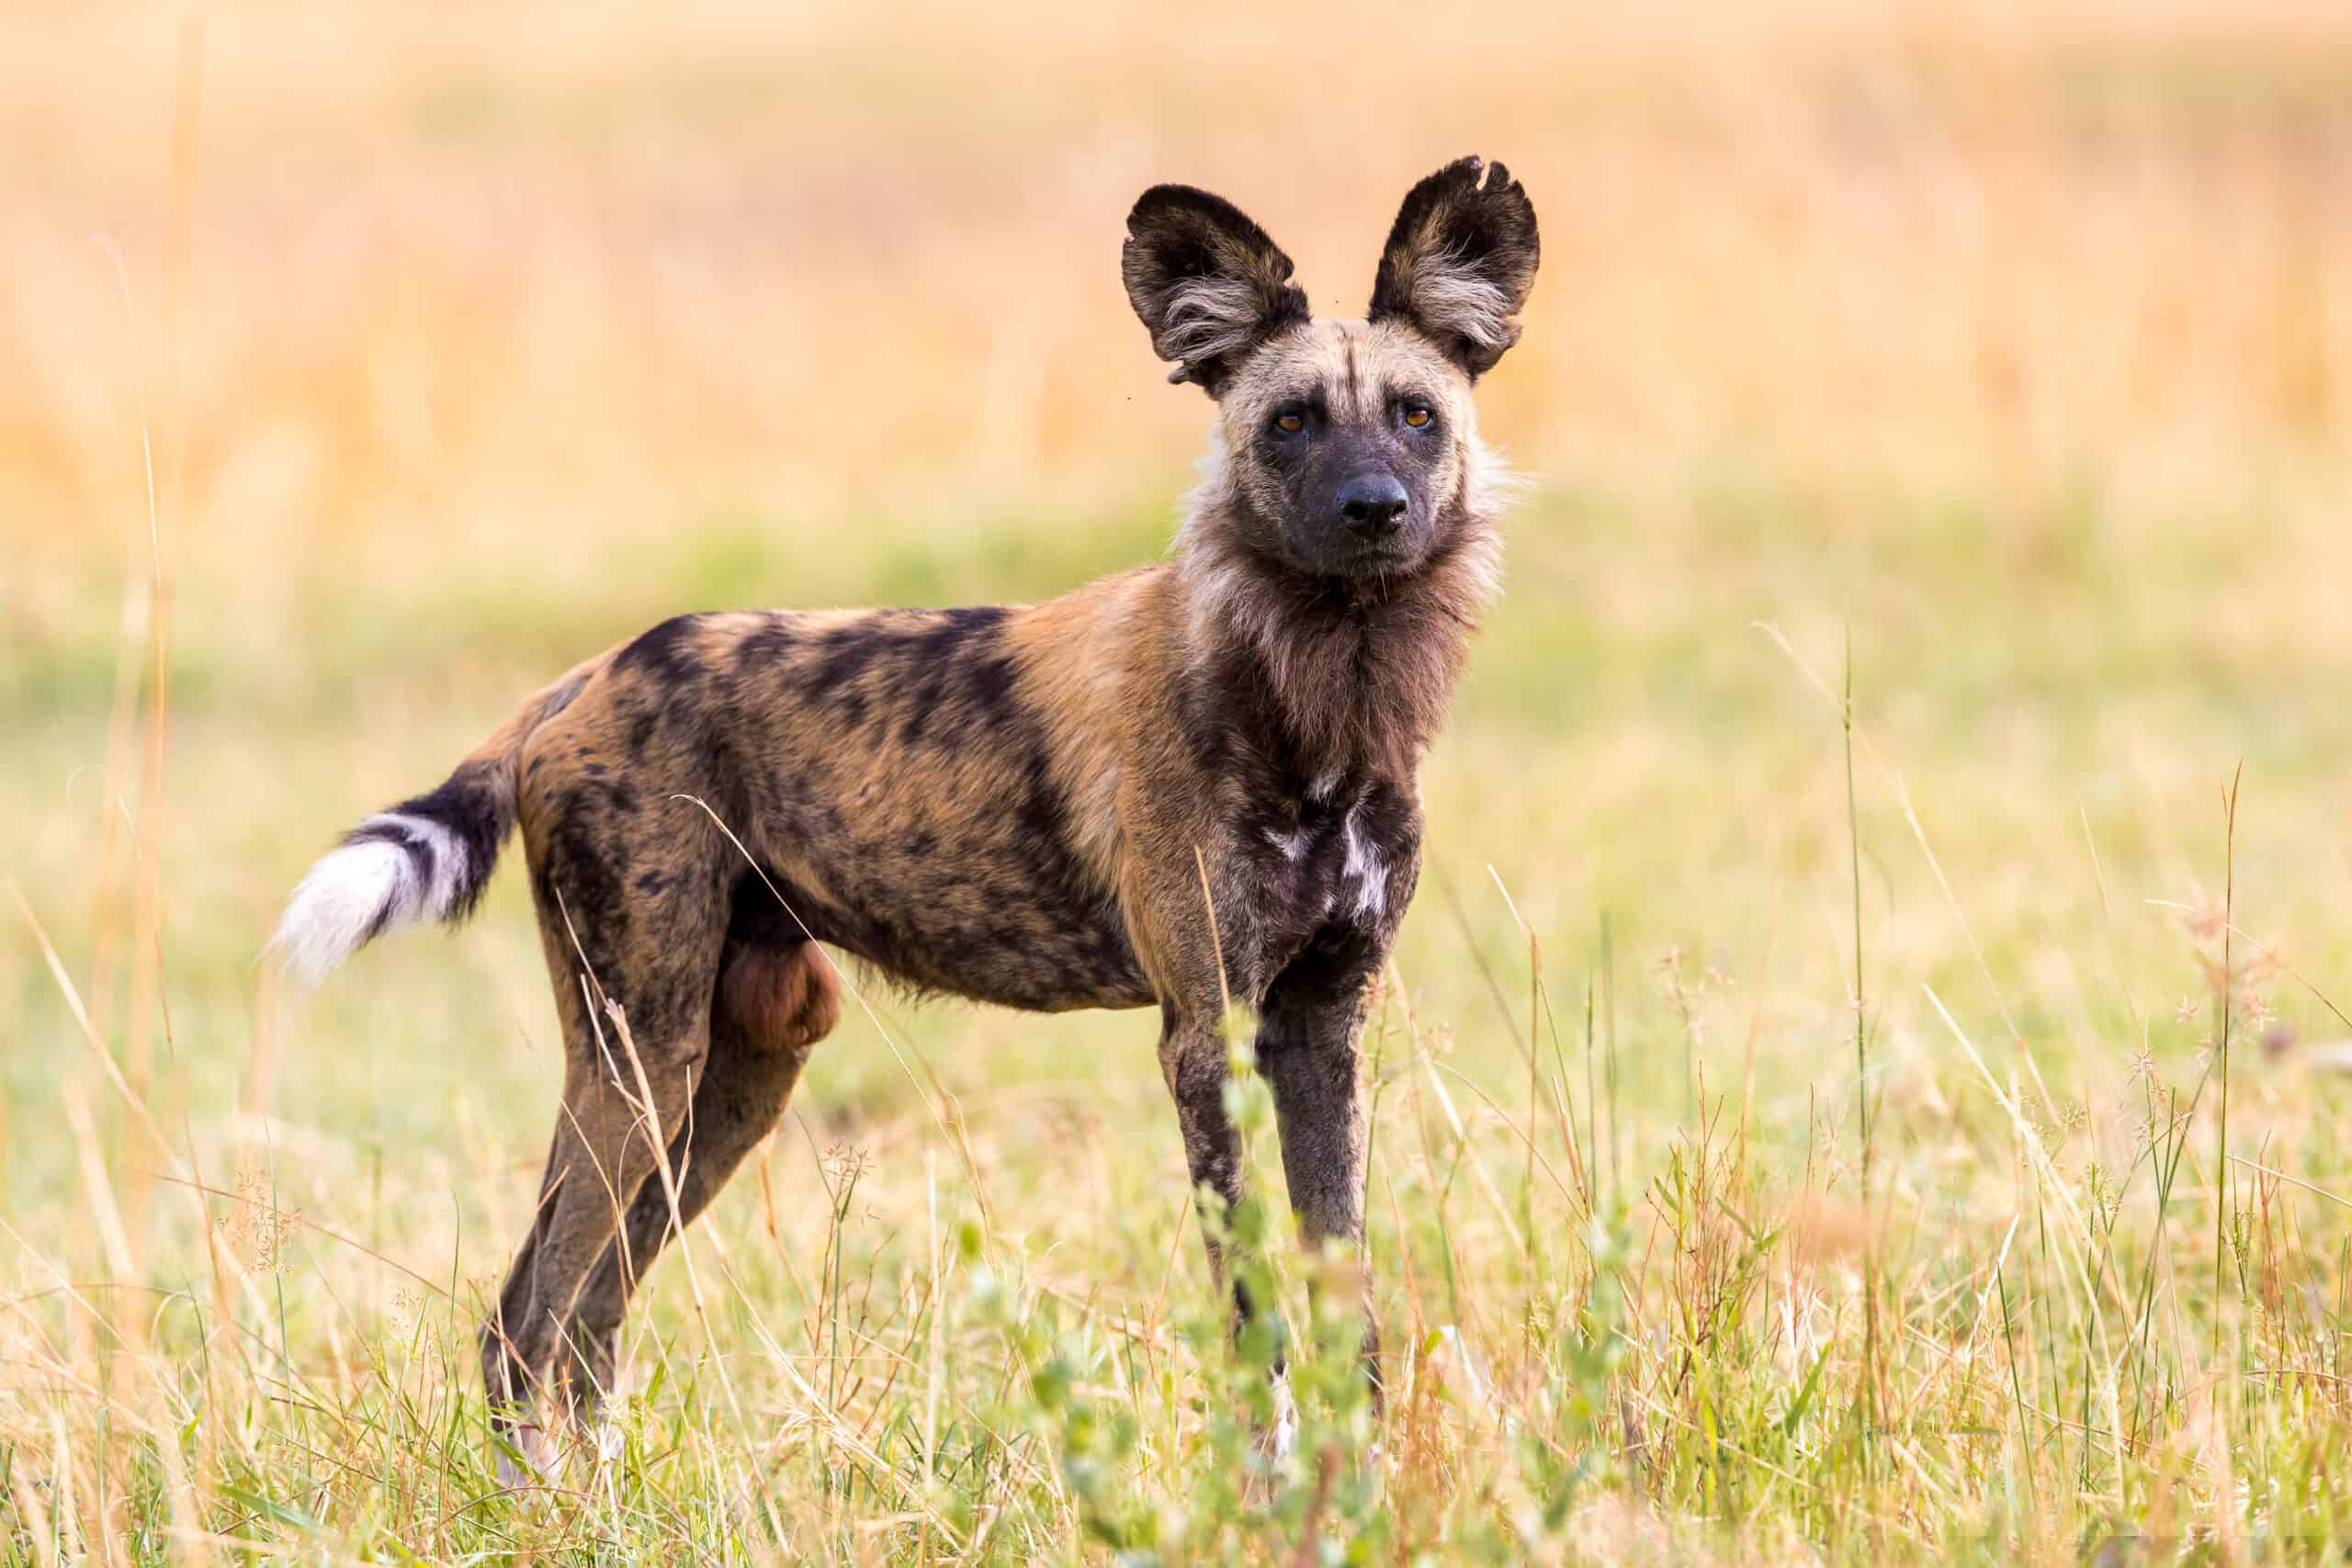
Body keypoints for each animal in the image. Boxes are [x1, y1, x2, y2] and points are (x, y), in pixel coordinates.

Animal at [275, 156, 1543, 1476]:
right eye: (1291, 422)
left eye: (1415, 414)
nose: (1373, 507)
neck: (1317, 703)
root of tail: (589, 674)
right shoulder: (1210, 1037)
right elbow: (1253, 1310)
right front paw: (1272, 1486)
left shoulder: (1321, 1029)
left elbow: (1347, 1299)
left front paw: (1358, 1482)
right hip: (644, 1064)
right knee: (528, 1321)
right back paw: (548, 1506)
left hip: (740, 1072)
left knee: (581, 1323)